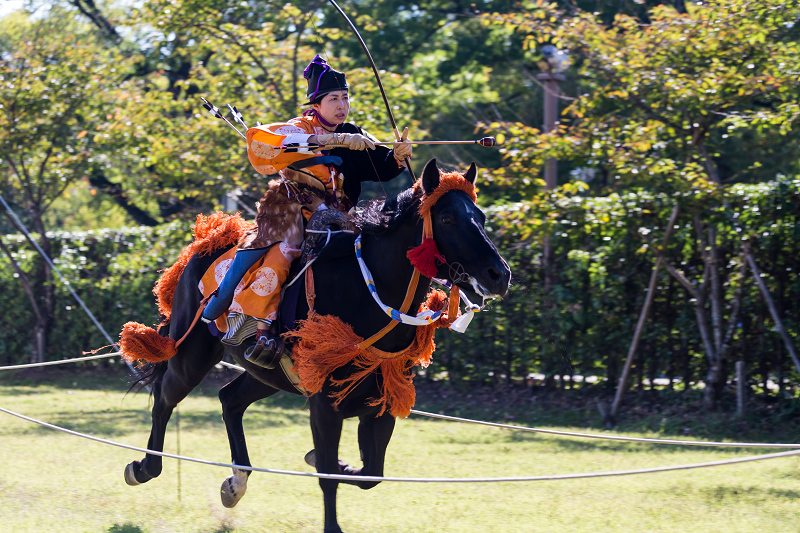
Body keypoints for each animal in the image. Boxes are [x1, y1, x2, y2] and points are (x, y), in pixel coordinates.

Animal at [125, 159, 512, 532]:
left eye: (481, 216)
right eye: (446, 218)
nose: (499, 274)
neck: (369, 292)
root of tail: (203, 244)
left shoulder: (381, 400)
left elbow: (370, 473)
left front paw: (333, 462)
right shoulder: (325, 404)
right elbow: (328, 474)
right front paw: (331, 514)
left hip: (268, 373)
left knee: (229, 400)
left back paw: (236, 482)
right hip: (192, 354)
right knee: (164, 397)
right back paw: (144, 468)